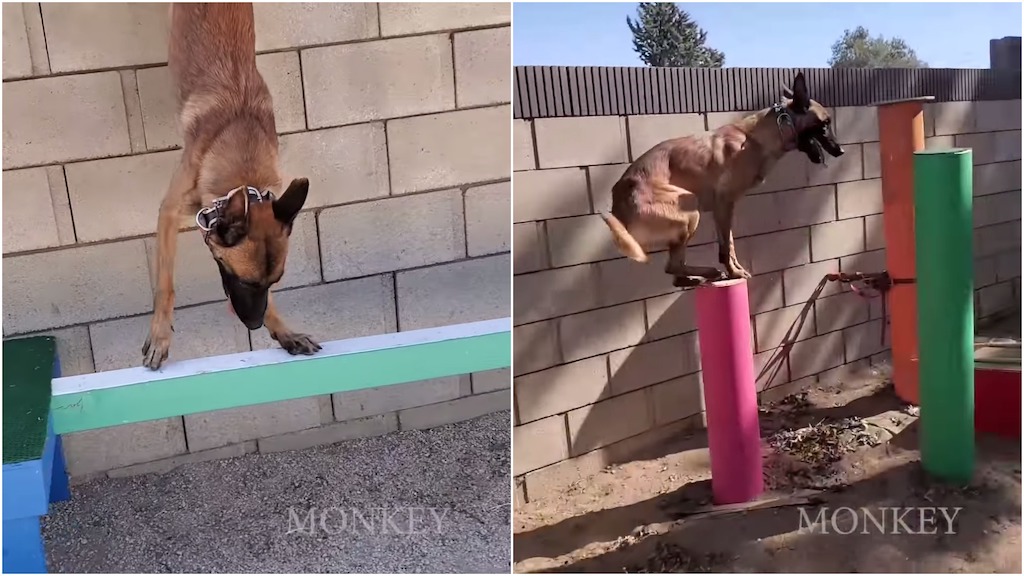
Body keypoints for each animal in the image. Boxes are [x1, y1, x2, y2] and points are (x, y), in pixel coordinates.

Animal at [141, 3, 319, 366]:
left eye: (273, 281)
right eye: (242, 281)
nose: (253, 326)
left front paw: (284, 332)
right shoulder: (168, 213)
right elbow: (165, 285)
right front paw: (160, 336)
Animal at [602, 70, 843, 286]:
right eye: (825, 124)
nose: (840, 151)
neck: (755, 138)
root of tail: (617, 203)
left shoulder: (724, 208)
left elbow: (729, 244)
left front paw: (734, 270)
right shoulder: (724, 203)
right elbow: (726, 247)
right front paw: (734, 273)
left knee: (675, 272)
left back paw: (696, 278)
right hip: (689, 208)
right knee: (672, 266)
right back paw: (708, 272)